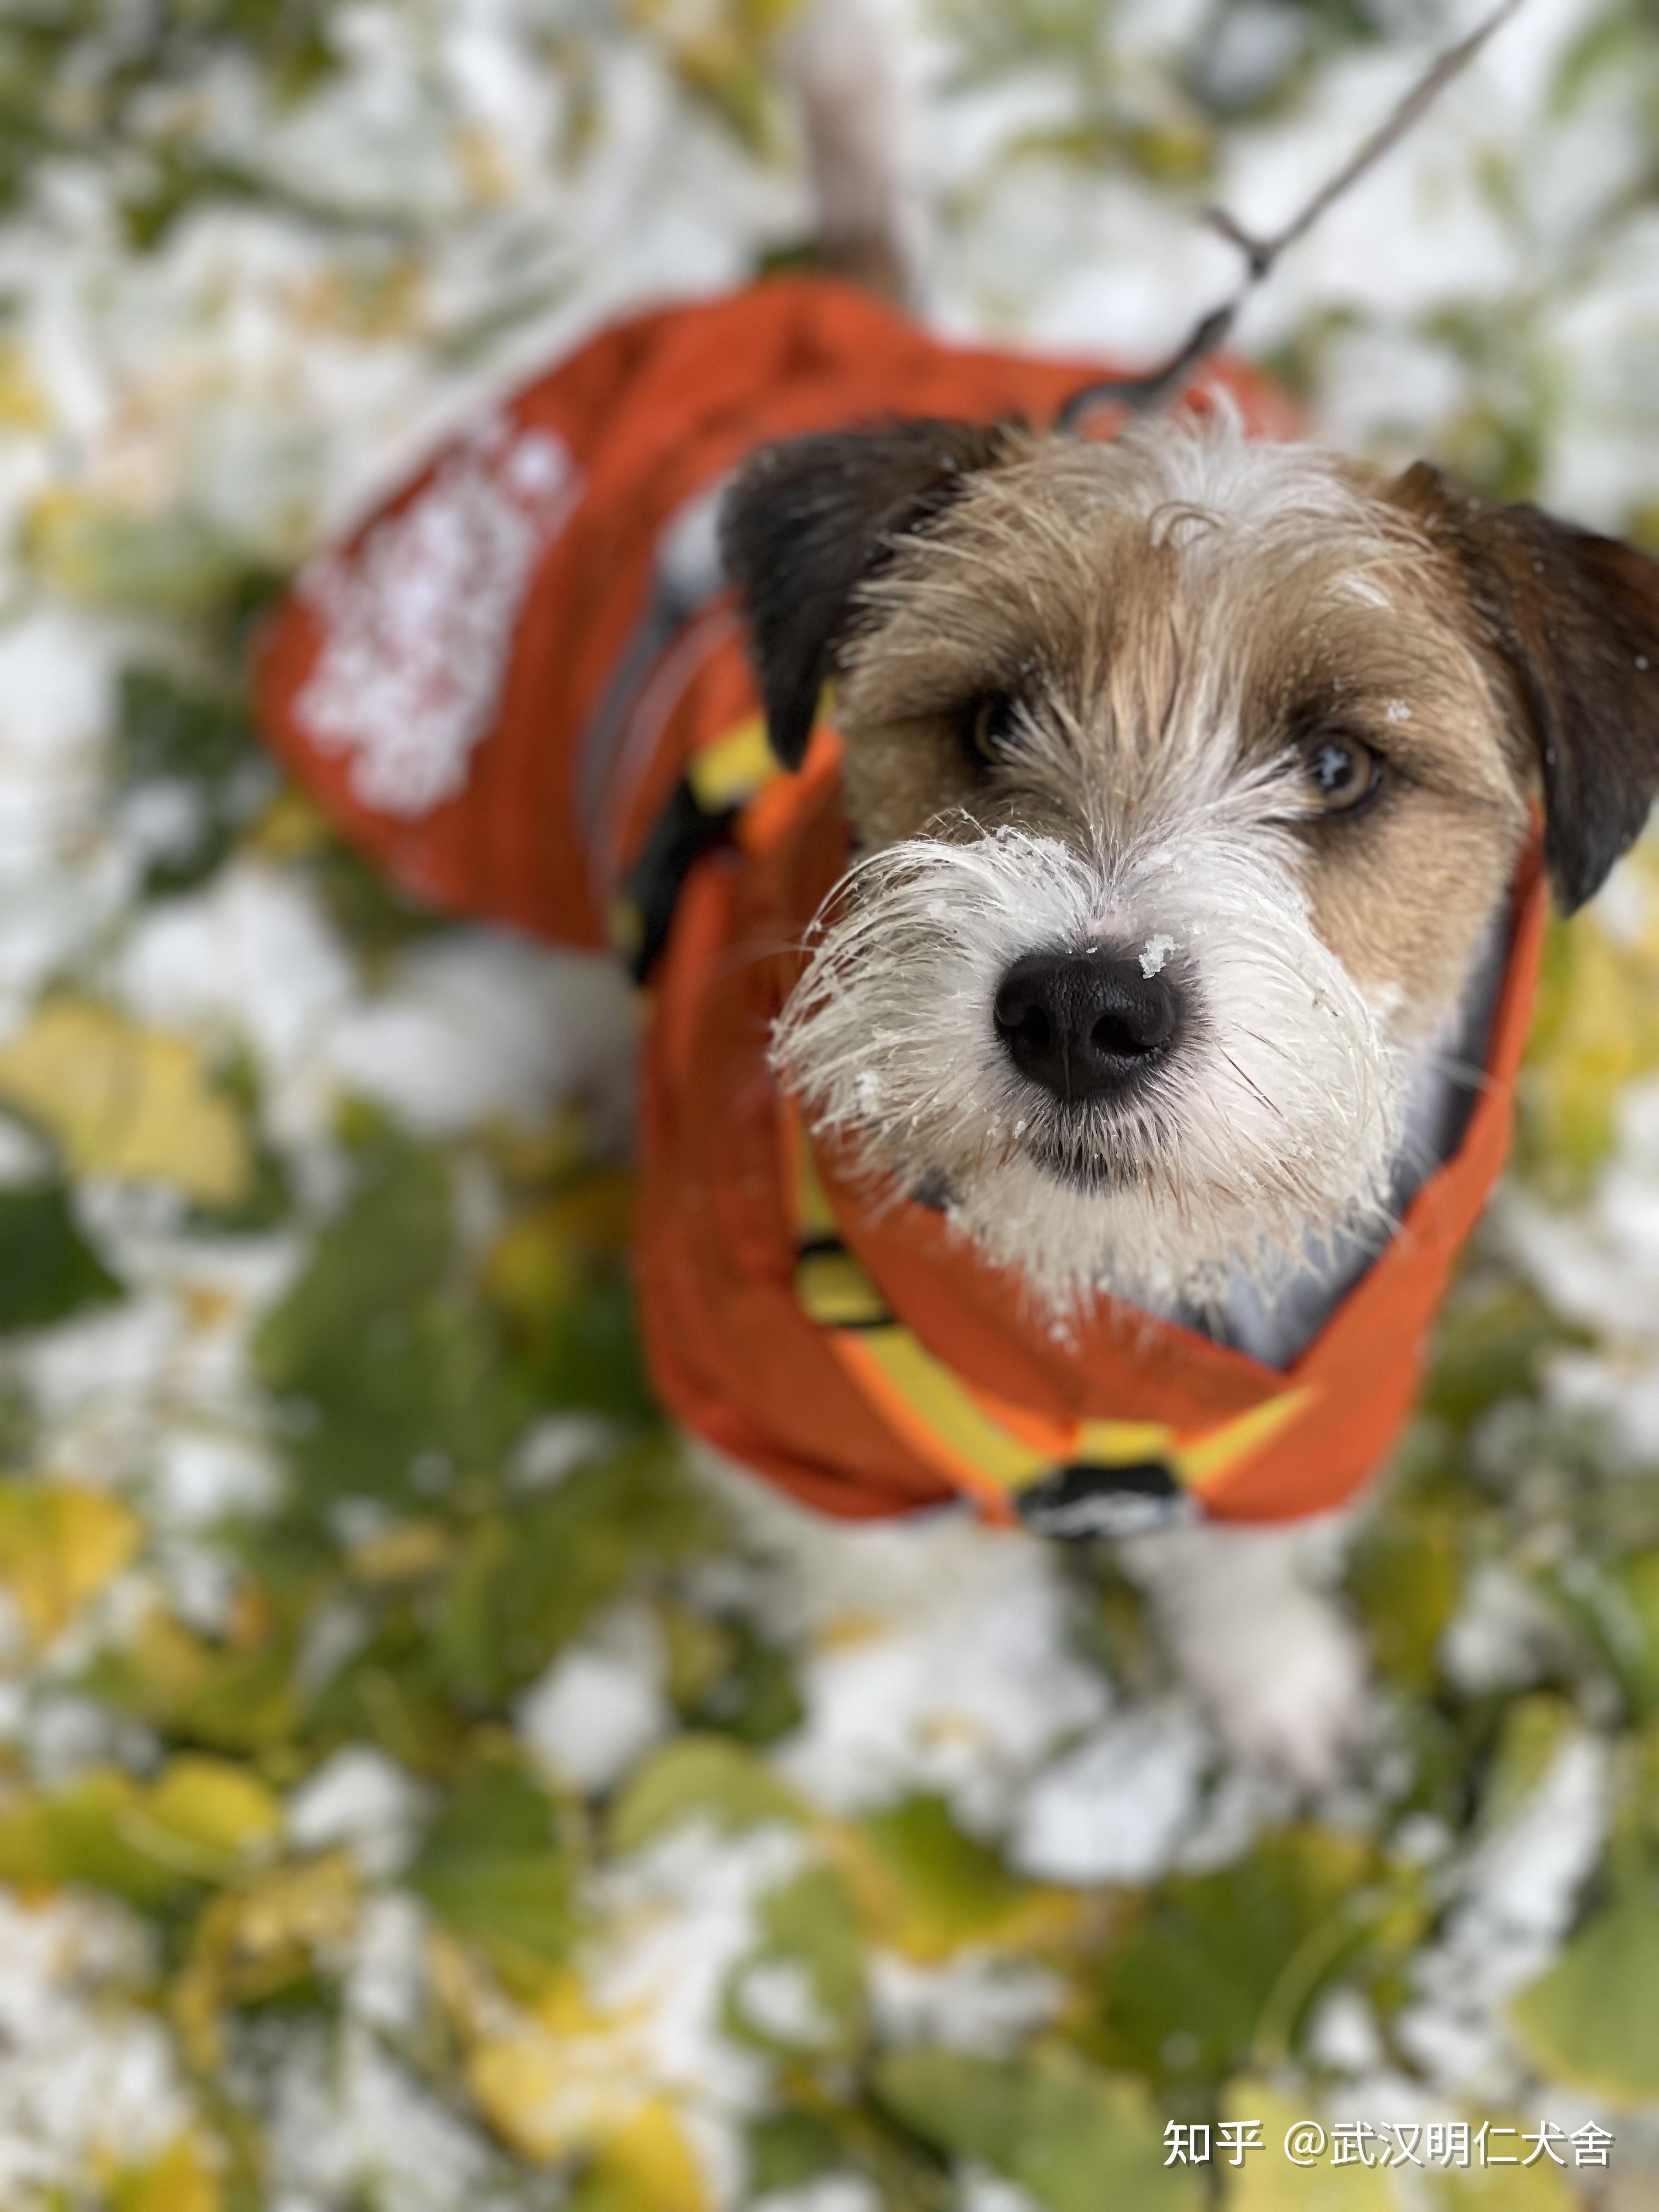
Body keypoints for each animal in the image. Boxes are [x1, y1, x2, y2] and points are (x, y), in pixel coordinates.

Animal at [253, 4, 1659, 1778]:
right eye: (994, 715)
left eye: (1339, 763)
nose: (1080, 1010)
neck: (1103, 1316)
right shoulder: (783, 1408)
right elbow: (910, 1592)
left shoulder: (1322, 1407)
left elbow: (1246, 1559)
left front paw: (1273, 1685)